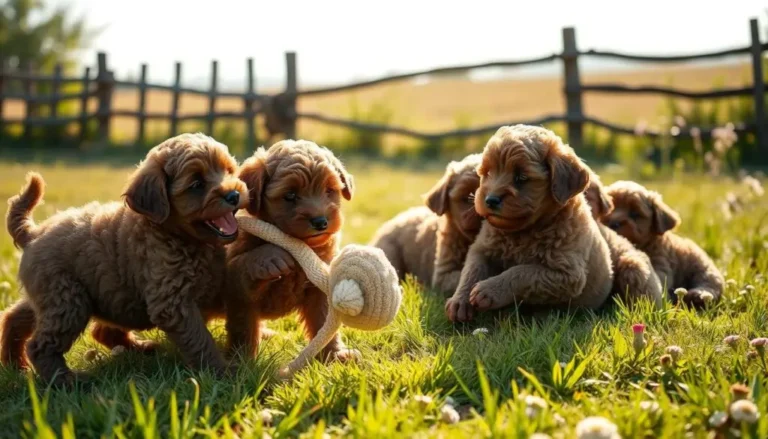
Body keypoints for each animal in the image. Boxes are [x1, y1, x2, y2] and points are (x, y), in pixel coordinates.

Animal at [0, 134, 246, 384]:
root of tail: (34, 233)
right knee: (42, 345)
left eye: (228, 170)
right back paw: (67, 381)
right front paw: (222, 372)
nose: (234, 195)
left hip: (54, 296)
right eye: (196, 184)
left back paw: (15, 365)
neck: (176, 235)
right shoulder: (174, 302)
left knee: (16, 318)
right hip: (67, 300)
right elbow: (199, 338)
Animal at [444, 124, 612, 324]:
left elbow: (523, 272)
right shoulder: (481, 248)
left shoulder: (568, 274)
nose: (490, 200)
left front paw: (489, 290)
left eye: (522, 177)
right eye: (488, 173)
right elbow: (471, 270)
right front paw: (459, 301)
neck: (521, 232)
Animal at [604, 180, 724, 308]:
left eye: (635, 214)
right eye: (610, 207)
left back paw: (698, 295)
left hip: (702, 267)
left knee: (709, 282)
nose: (613, 223)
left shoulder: (661, 264)